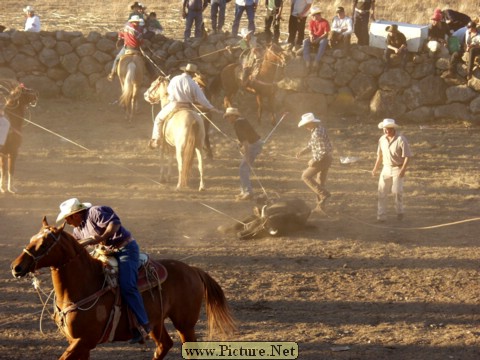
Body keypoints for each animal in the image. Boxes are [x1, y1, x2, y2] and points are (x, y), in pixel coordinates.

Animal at [10, 218, 236, 358]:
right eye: (31, 239)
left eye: (45, 243)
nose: (16, 267)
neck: (83, 287)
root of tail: (192, 270)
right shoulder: (79, 343)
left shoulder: (83, 341)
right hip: (156, 323)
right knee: (164, 345)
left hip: (185, 324)